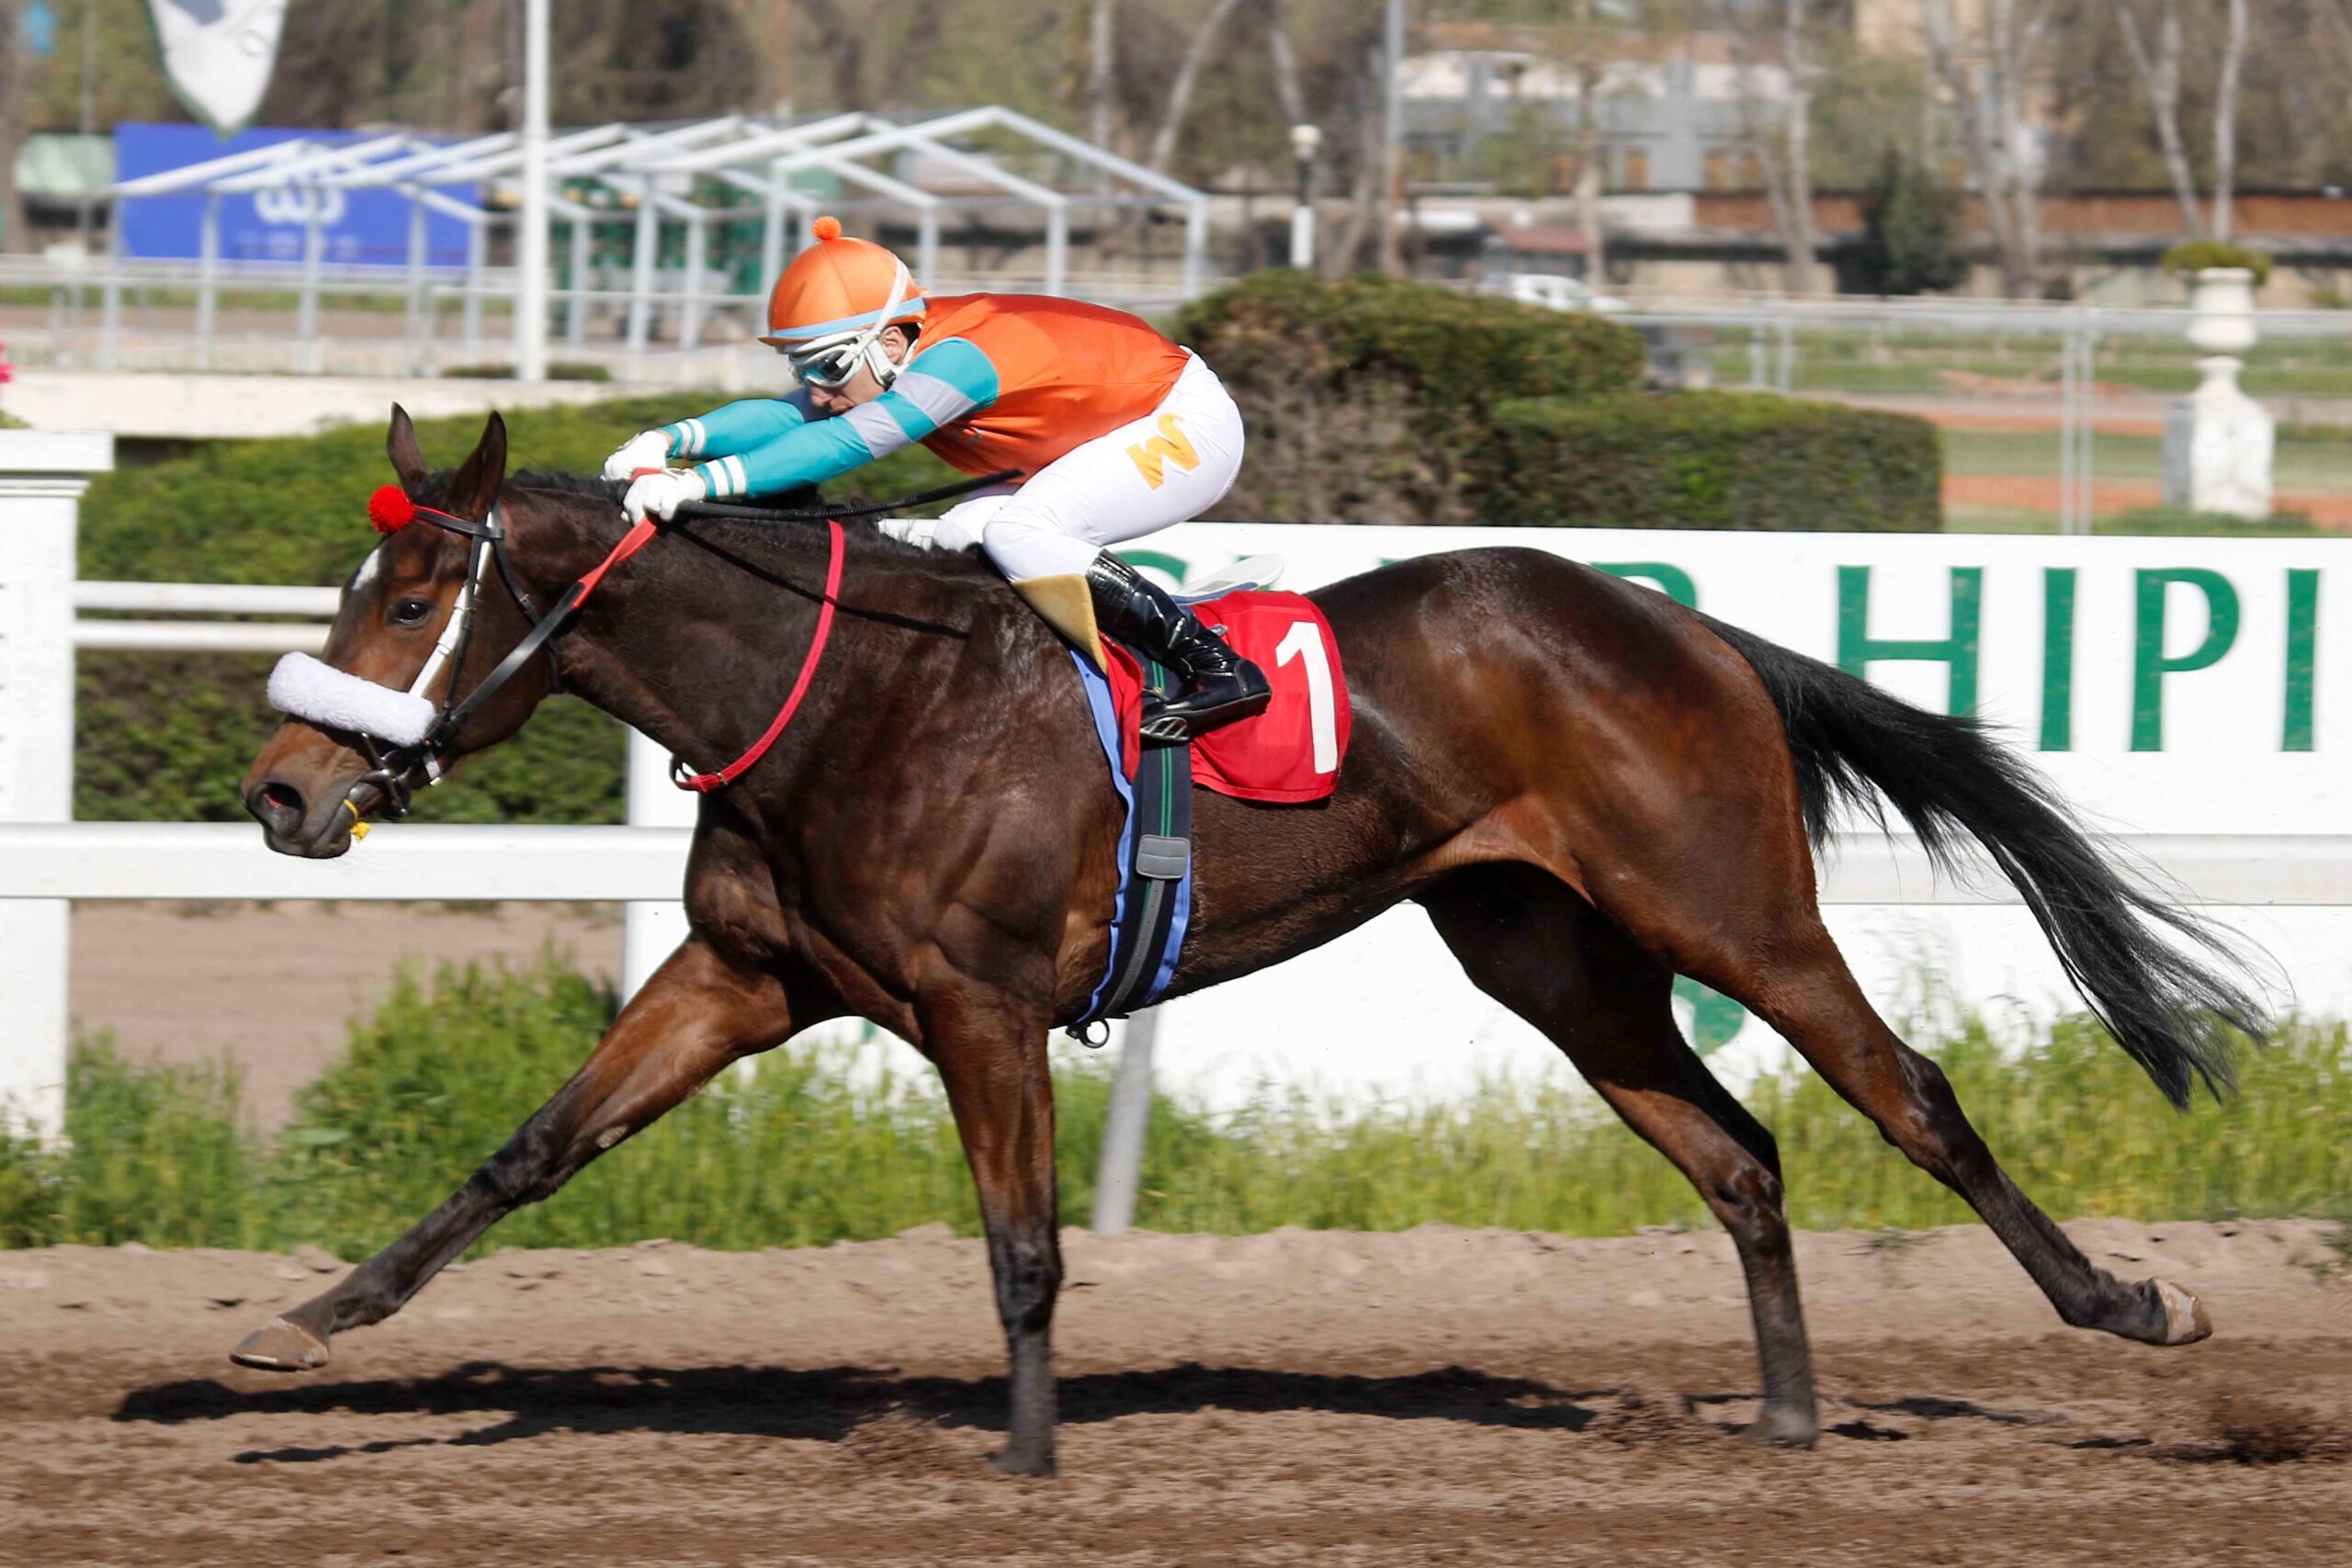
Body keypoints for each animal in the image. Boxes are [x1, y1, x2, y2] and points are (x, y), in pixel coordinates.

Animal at [234, 408, 2262, 1476]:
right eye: (356, 580)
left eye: (416, 592)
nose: (278, 790)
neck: (846, 699)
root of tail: (1682, 628)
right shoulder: (745, 977)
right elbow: (527, 1149)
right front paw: (303, 1323)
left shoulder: (980, 1003)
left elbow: (1025, 1247)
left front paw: (1030, 1456)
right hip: (1547, 951)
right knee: (1739, 1150)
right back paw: (1780, 1415)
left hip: (1728, 906)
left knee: (1911, 1095)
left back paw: (2123, 1303)